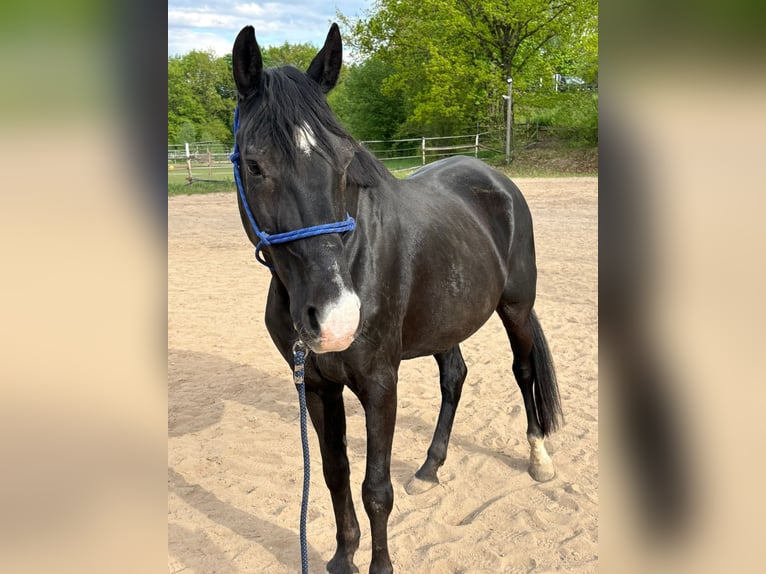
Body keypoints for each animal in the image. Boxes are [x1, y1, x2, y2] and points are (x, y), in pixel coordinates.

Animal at [231, 23, 563, 574]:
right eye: (254, 165)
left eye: (346, 161)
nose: (337, 318)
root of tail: (496, 180)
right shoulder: (317, 386)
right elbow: (335, 475)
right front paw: (342, 557)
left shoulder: (380, 383)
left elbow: (376, 489)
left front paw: (378, 565)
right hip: (445, 322)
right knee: (455, 377)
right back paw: (429, 468)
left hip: (515, 308)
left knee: (523, 370)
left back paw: (539, 460)